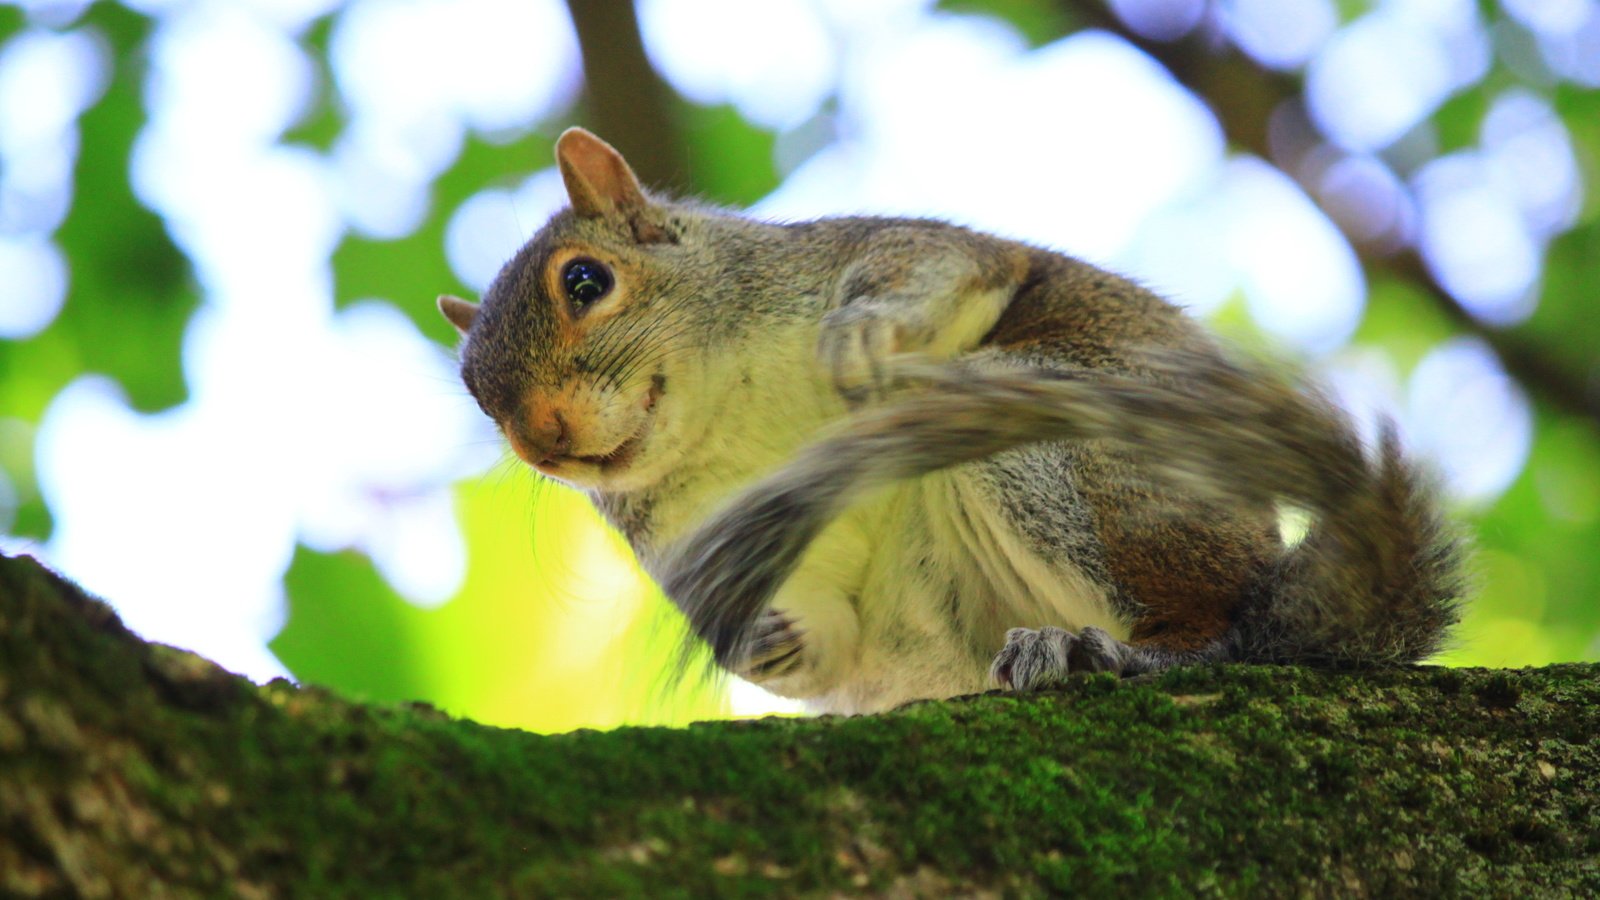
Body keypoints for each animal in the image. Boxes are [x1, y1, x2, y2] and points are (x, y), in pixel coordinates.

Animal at [435, 128, 1465, 714]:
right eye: (474, 394)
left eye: (584, 281)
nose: (542, 441)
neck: (730, 417)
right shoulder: (708, 541)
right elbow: (819, 641)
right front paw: (762, 639)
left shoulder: (883, 256)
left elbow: (943, 269)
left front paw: (860, 332)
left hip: (1067, 458)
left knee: (1216, 631)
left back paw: (1114, 652)